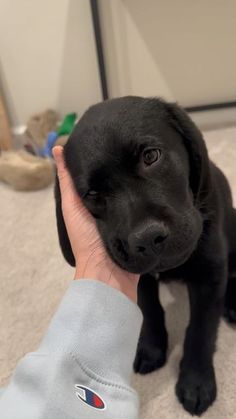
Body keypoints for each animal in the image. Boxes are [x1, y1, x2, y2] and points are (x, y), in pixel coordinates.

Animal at [54, 97, 236, 416]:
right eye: (92, 194)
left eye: (151, 156)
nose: (147, 239)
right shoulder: (140, 278)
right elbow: (150, 311)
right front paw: (151, 348)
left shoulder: (210, 275)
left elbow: (200, 331)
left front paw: (196, 382)